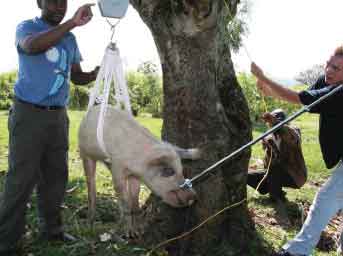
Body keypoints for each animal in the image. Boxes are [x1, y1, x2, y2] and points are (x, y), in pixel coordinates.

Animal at [78, 105, 199, 237]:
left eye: (182, 170)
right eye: (169, 171)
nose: (194, 195)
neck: (138, 163)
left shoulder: (134, 176)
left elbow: (135, 202)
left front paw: (139, 231)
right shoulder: (117, 169)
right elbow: (126, 202)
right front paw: (129, 234)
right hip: (85, 154)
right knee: (91, 189)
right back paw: (90, 225)